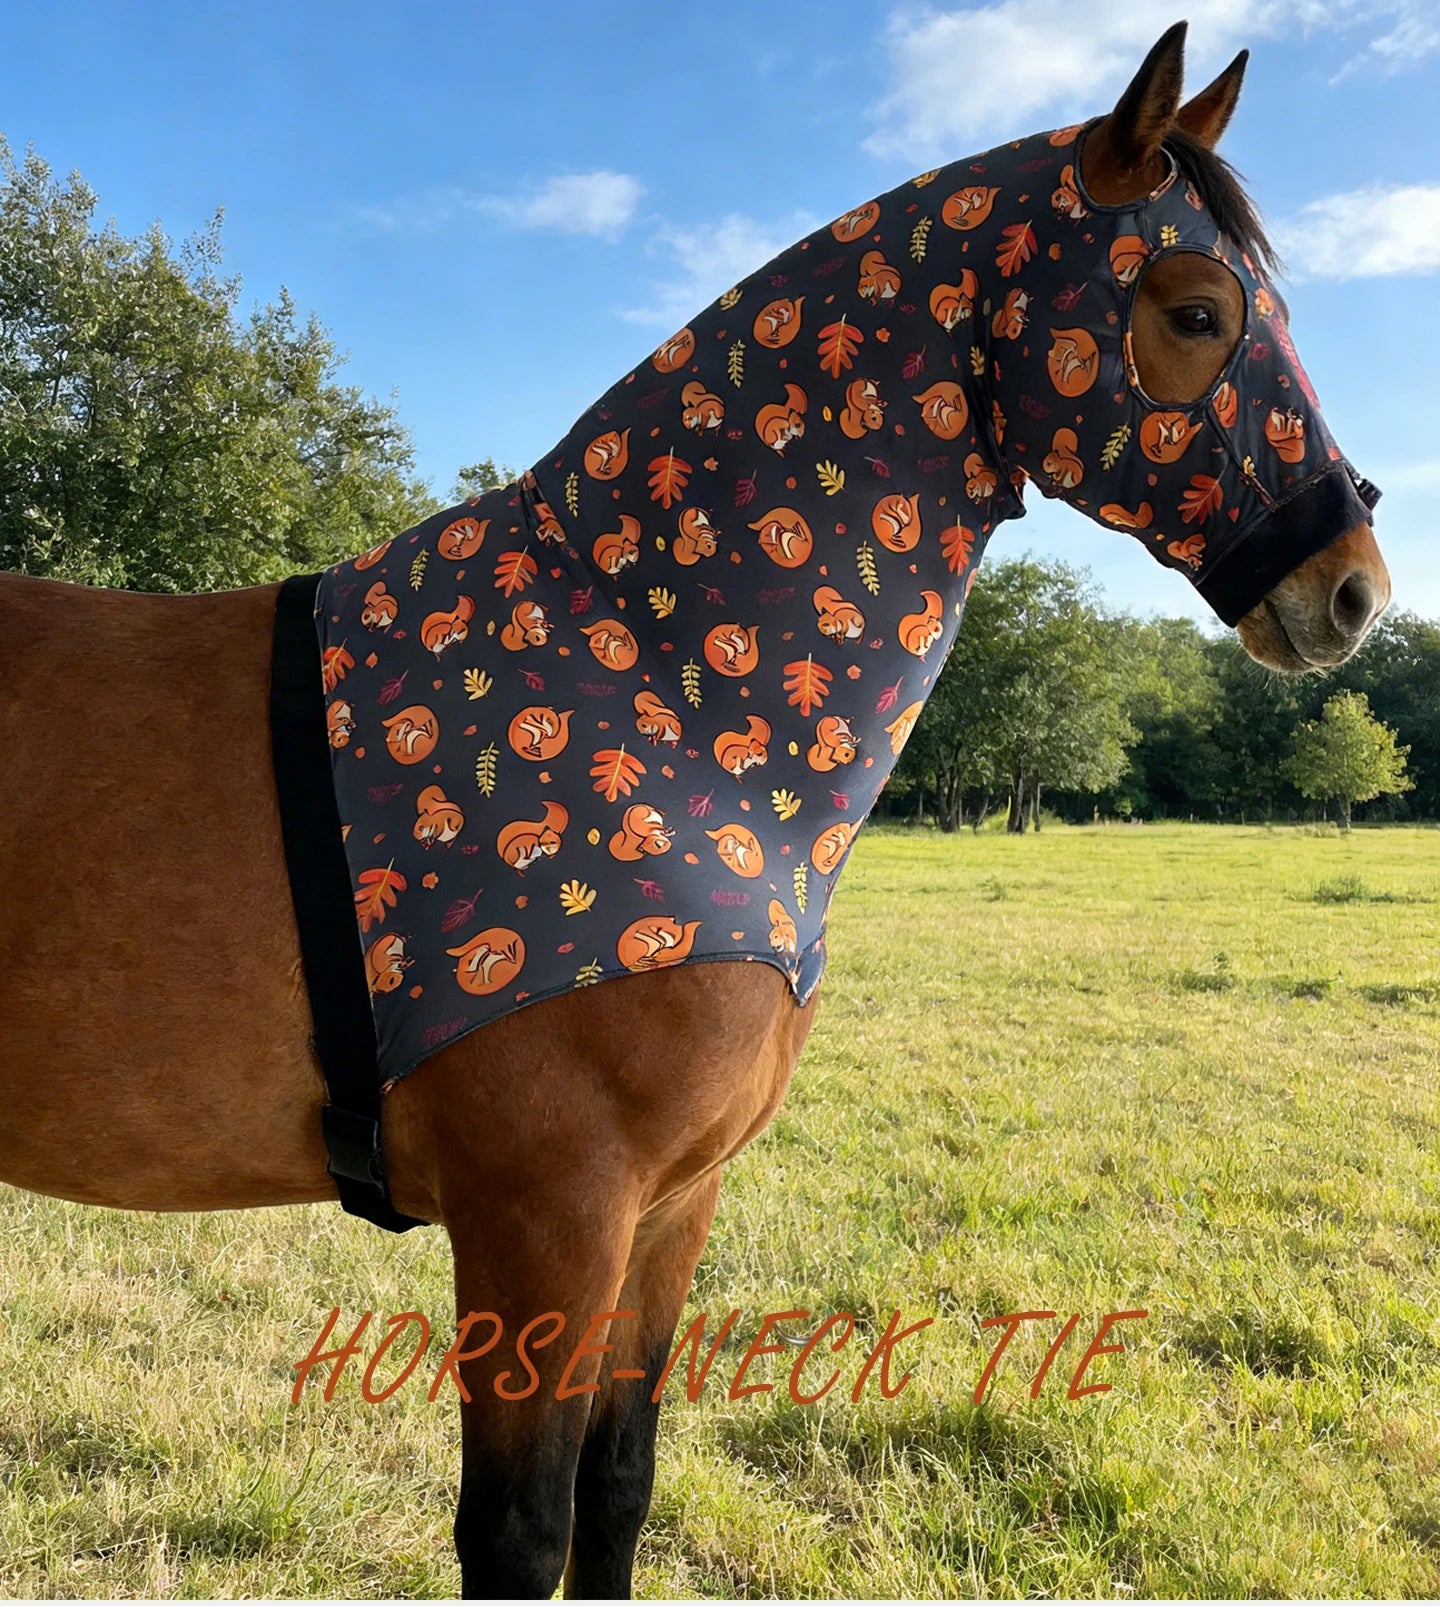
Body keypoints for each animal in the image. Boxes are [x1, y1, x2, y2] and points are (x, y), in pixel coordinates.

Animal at [0, 24, 1390, 1599]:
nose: (1353, 588)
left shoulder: (668, 1209)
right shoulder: (545, 1219)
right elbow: (519, 1526)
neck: (657, 691)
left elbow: (617, 1486)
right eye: (1198, 310)